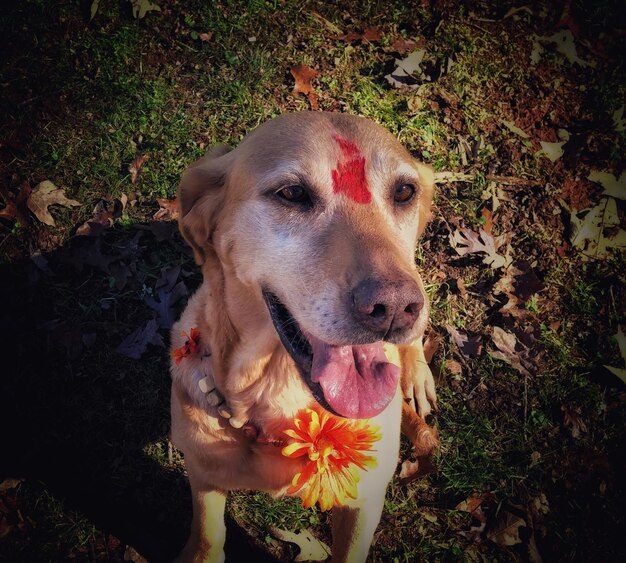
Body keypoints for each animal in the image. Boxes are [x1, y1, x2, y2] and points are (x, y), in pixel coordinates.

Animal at [168, 112, 436, 560]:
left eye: (403, 191)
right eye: (292, 193)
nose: (396, 308)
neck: (273, 396)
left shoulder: (363, 504)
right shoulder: (202, 477)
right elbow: (207, 538)